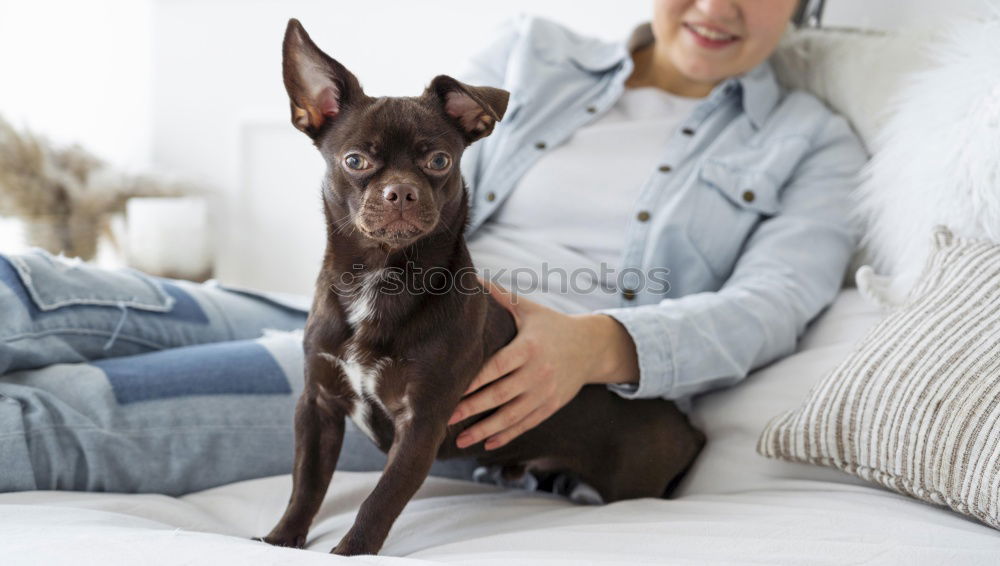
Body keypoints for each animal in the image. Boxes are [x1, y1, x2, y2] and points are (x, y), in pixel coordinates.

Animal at [262, 18, 708, 560]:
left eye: (438, 161)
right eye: (354, 161)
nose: (401, 192)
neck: (382, 277)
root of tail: (687, 426)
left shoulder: (421, 423)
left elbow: (381, 498)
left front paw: (349, 553)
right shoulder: (319, 406)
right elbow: (307, 482)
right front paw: (281, 540)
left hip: (632, 481)